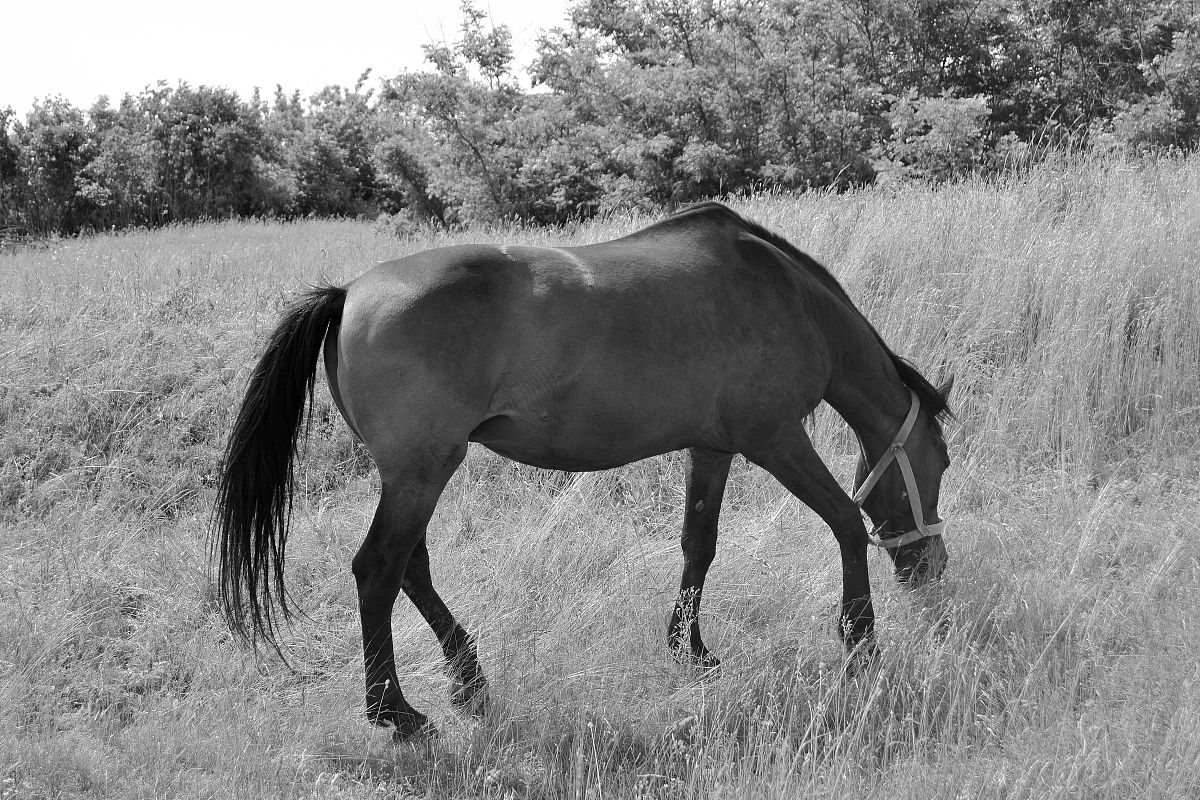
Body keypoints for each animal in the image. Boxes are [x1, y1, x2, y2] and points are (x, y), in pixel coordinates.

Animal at [213, 201, 953, 739]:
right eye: (941, 462)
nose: (932, 570)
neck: (789, 299)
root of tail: (348, 294)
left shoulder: (712, 449)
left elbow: (699, 545)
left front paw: (691, 650)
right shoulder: (775, 439)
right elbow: (846, 523)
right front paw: (861, 644)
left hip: (412, 475)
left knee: (409, 570)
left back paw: (469, 682)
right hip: (422, 472)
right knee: (378, 570)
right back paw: (396, 712)